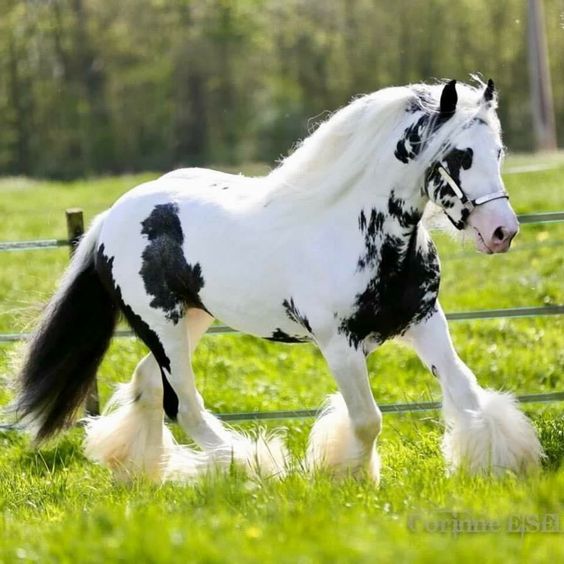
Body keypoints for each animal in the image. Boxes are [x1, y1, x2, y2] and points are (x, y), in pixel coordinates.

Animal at [13, 79, 540, 482]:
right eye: (460, 156)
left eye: (498, 151)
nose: (503, 232)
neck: (357, 230)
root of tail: (111, 218)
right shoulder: (339, 344)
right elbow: (366, 421)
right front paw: (348, 477)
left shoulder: (425, 321)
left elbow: (468, 395)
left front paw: (499, 467)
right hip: (161, 326)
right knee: (182, 404)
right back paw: (250, 467)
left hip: (193, 318)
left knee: (146, 384)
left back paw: (139, 467)